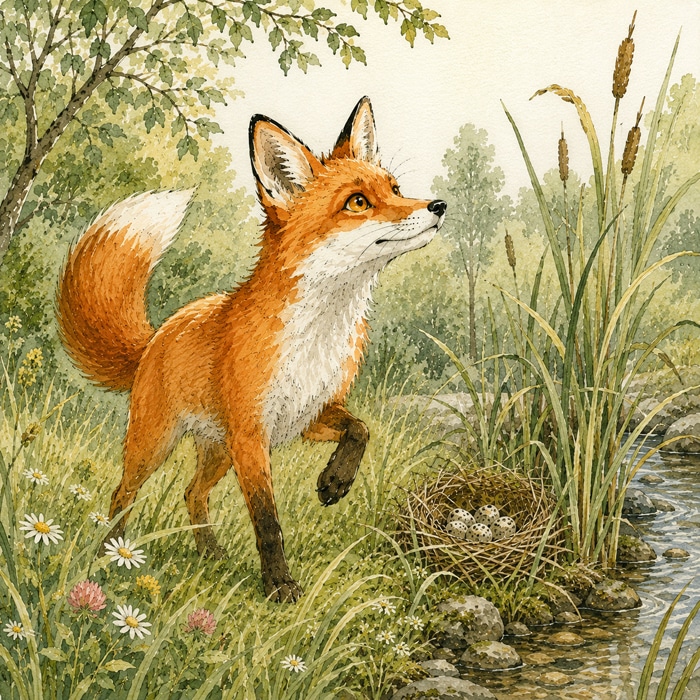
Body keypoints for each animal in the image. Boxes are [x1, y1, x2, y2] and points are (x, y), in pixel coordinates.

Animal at [56, 97, 446, 602]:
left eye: (396, 188)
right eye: (358, 202)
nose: (438, 204)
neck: (315, 337)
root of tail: (158, 334)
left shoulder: (309, 415)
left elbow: (360, 430)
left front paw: (334, 481)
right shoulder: (251, 436)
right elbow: (267, 521)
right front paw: (279, 586)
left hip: (217, 451)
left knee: (192, 493)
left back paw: (209, 552)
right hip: (155, 445)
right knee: (122, 494)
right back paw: (111, 551)